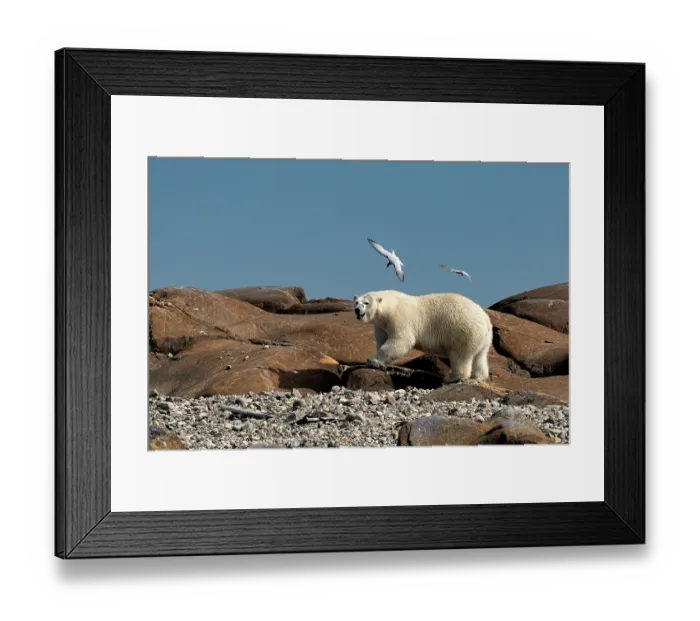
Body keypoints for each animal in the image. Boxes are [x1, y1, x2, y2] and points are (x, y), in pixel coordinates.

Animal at [352, 290, 493, 383]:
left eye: (366, 302)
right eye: (356, 302)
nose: (357, 310)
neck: (390, 306)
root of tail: (486, 320)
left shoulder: (400, 318)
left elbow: (400, 341)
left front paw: (372, 361)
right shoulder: (381, 325)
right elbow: (382, 340)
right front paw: (379, 363)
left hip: (463, 331)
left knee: (460, 355)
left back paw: (452, 377)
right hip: (483, 338)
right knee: (479, 356)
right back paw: (478, 376)